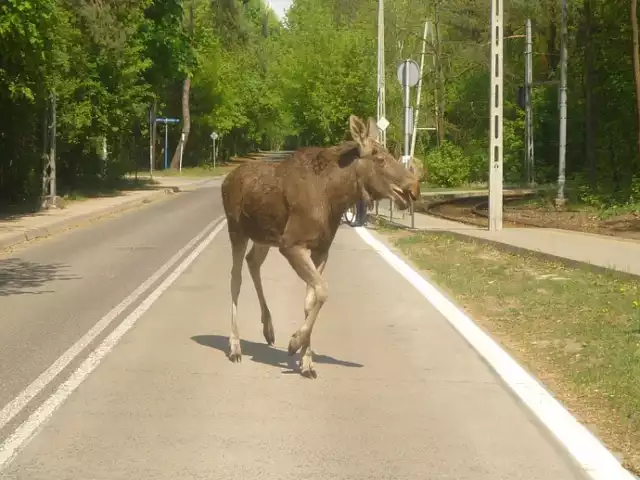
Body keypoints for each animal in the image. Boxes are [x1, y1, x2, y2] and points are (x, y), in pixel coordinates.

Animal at [220, 114, 420, 376]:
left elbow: (311, 300)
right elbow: (323, 290)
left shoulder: (321, 250)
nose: (414, 188)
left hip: (264, 238)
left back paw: (268, 329)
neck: (335, 197)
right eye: (379, 158)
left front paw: (306, 361)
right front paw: (295, 343)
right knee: (235, 278)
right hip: (237, 231)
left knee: (253, 262)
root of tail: (225, 181)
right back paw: (235, 346)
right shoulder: (291, 244)